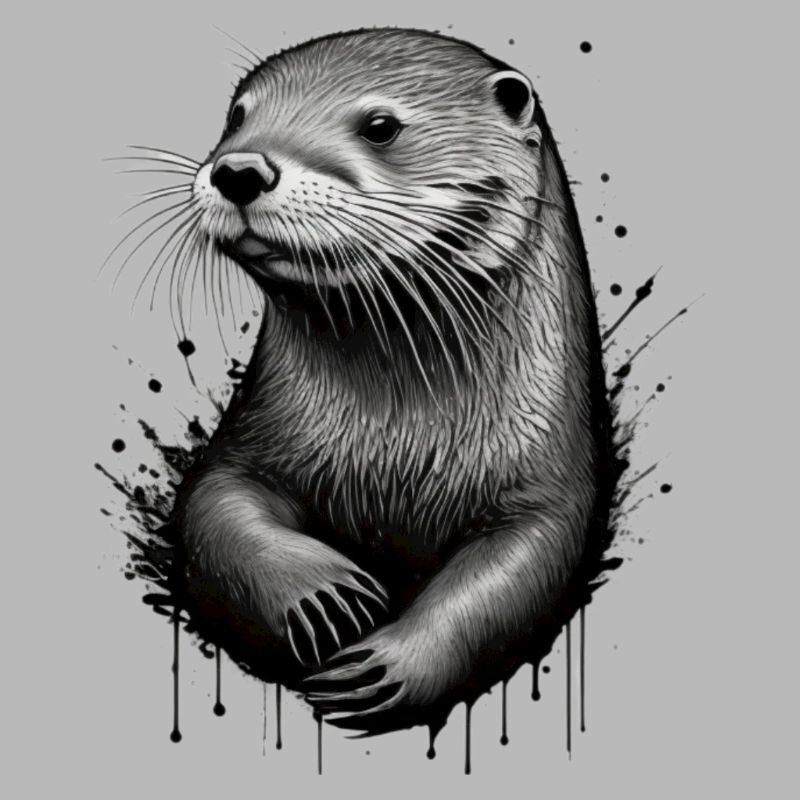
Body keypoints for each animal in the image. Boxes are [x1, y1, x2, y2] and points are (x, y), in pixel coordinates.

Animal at [167, 28, 614, 735]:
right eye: (236, 115)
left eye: (381, 126)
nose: (238, 168)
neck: (397, 443)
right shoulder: (251, 438)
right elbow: (213, 506)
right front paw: (322, 595)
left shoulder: (553, 476)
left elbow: (517, 571)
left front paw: (389, 667)